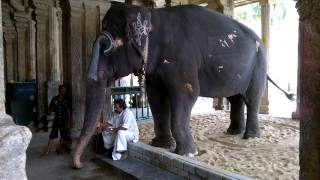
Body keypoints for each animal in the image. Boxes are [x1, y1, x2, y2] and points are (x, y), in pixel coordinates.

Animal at [72, 1, 292, 169]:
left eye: (105, 45)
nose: (79, 164)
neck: (153, 17)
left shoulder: (183, 61)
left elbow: (186, 96)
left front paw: (187, 153)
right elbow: (156, 99)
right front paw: (160, 145)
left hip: (259, 64)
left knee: (251, 98)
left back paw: (250, 137)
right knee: (235, 98)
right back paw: (233, 133)